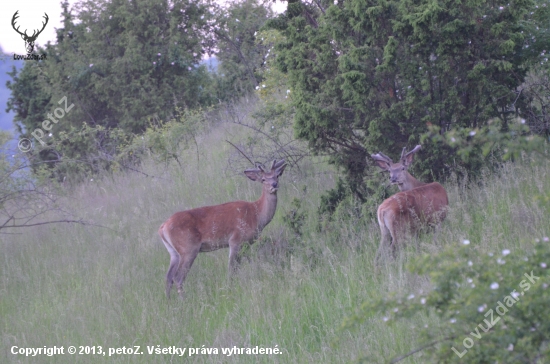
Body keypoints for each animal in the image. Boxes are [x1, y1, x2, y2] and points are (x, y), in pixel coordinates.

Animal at [158, 159, 288, 298]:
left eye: (277, 175)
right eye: (263, 179)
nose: (274, 184)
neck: (256, 214)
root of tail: (163, 227)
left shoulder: (247, 243)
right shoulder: (236, 240)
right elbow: (231, 269)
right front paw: (230, 288)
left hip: (173, 252)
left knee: (168, 277)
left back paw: (169, 301)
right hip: (188, 248)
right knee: (178, 277)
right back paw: (183, 299)